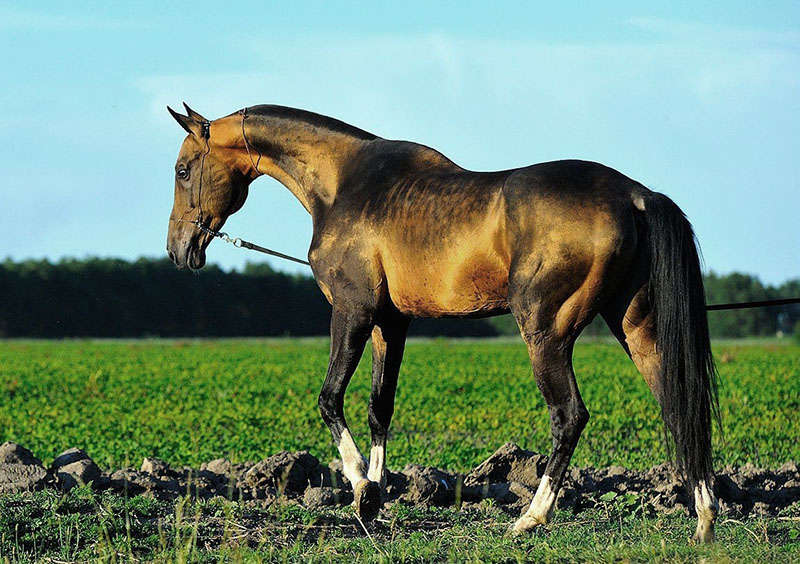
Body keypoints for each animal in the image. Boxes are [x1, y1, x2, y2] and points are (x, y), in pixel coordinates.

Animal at [166, 101, 720, 540]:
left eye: (183, 170)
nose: (178, 250)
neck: (344, 184)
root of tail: (635, 195)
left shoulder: (351, 311)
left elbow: (329, 399)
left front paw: (361, 487)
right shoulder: (391, 324)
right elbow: (379, 408)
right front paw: (375, 498)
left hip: (546, 331)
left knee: (569, 416)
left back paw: (530, 518)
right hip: (635, 327)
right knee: (679, 404)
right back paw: (705, 519)